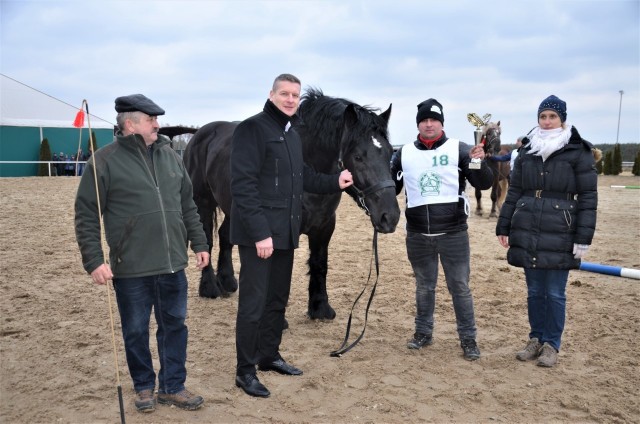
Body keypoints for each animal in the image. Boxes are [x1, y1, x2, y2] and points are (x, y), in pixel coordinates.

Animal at [181, 90, 400, 322]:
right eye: (358, 156)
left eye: (389, 152)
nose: (390, 217)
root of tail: (199, 135)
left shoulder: (324, 226)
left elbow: (319, 264)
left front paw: (320, 308)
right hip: (202, 202)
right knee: (206, 241)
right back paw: (209, 288)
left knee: (224, 236)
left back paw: (228, 282)